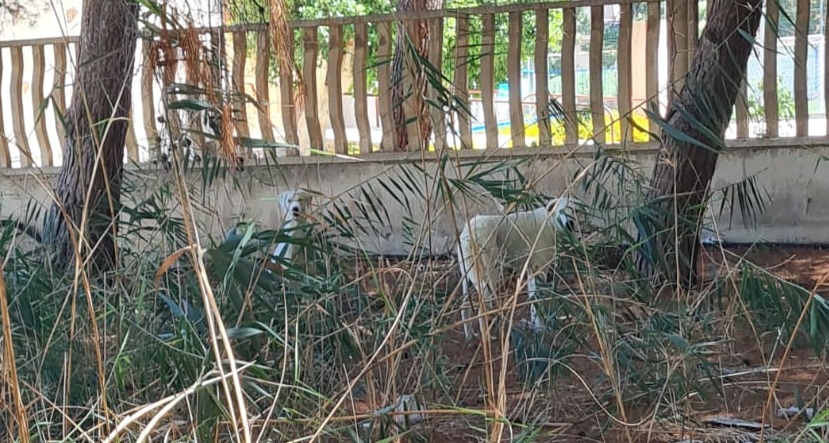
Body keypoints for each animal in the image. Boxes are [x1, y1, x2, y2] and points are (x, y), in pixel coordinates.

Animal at [456, 197, 572, 340]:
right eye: (562, 210)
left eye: (573, 210)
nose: (571, 224)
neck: (549, 221)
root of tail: (470, 230)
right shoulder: (540, 269)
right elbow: (538, 300)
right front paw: (541, 328)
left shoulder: (531, 270)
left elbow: (532, 299)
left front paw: (535, 327)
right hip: (490, 276)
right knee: (482, 310)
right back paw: (487, 338)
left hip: (468, 277)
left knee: (464, 306)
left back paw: (470, 336)